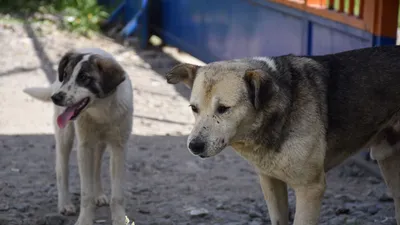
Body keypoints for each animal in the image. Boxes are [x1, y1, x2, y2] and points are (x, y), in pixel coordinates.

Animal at [23, 48, 133, 225]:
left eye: (84, 78)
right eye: (66, 75)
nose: (56, 98)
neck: (101, 111)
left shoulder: (119, 148)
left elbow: (117, 194)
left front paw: (119, 219)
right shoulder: (84, 147)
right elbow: (86, 193)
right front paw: (85, 220)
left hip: (99, 144)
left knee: (96, 167)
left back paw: (99, 194)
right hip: (65, 137)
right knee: (62, 170)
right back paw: (65, 204)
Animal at [166, 45, 400, 225]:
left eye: (223, 109)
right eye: (194, 108)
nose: (194, 146)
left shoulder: (310, 188)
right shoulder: (270, 180)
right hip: (388, 162)